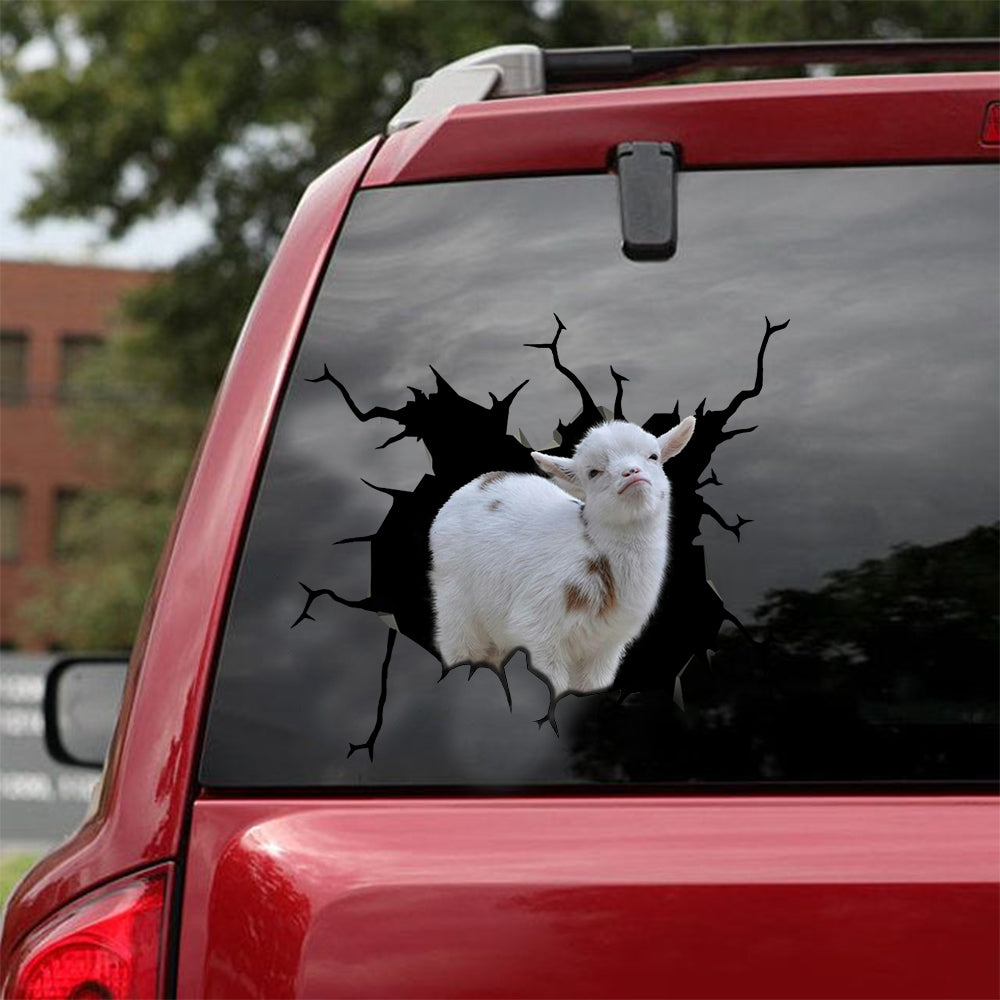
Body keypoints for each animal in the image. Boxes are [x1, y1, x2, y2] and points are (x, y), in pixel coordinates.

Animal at [429, 417, 696, 695]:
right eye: (593, 472)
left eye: (653, 456)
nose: (631, 473)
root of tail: (477, 483)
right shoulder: (537, 629)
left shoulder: (607, 645)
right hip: (455, 599)